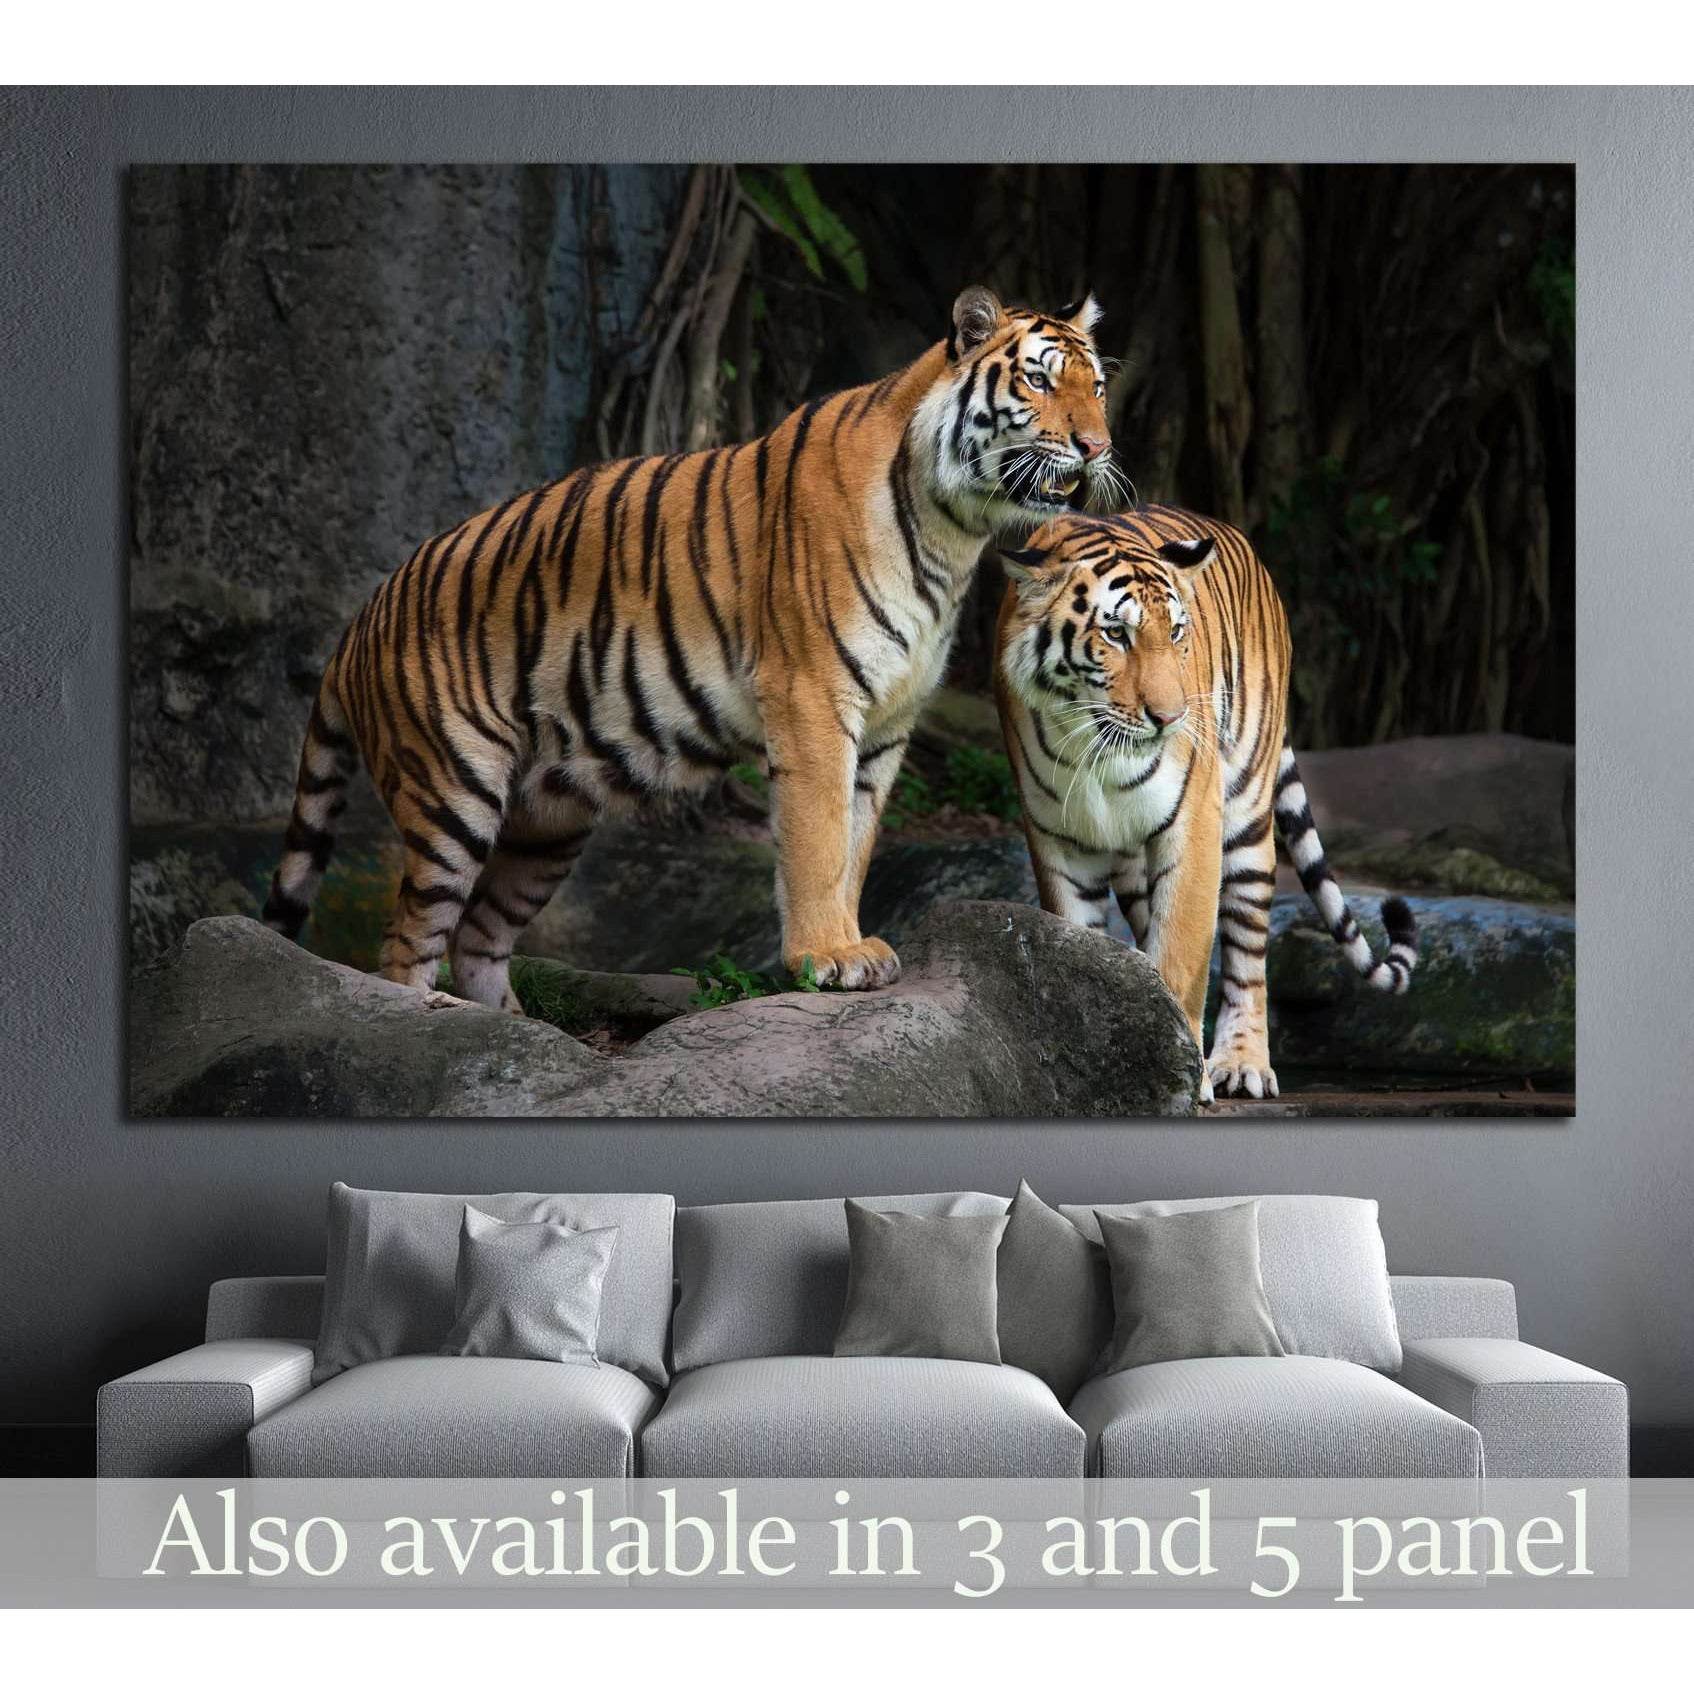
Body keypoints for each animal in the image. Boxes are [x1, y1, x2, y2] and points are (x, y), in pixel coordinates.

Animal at [263, 285, 1116, 1007]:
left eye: (1099, 387)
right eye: (1039, 382)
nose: (1097, 446)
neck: (954, 531)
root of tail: (362, 616)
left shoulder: (887, 725)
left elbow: (857, 843)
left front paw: (852, 943)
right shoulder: (812, 697)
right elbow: (818, 837)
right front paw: (827, 957)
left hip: (549, 821)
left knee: (479, 938)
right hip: (452, 793)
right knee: (407, 941)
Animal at [993, 505, 1419, 1102]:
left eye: (1175, 632)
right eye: (1116, 633)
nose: (1171, 718)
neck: (1094, 749)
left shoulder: (1193, 824)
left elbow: (1181, 957)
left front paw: (1176, 1074)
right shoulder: (1059, 839)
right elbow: (1080, 949)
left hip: (1246, 815)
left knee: (1246, 954)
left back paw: (1242, 1063)